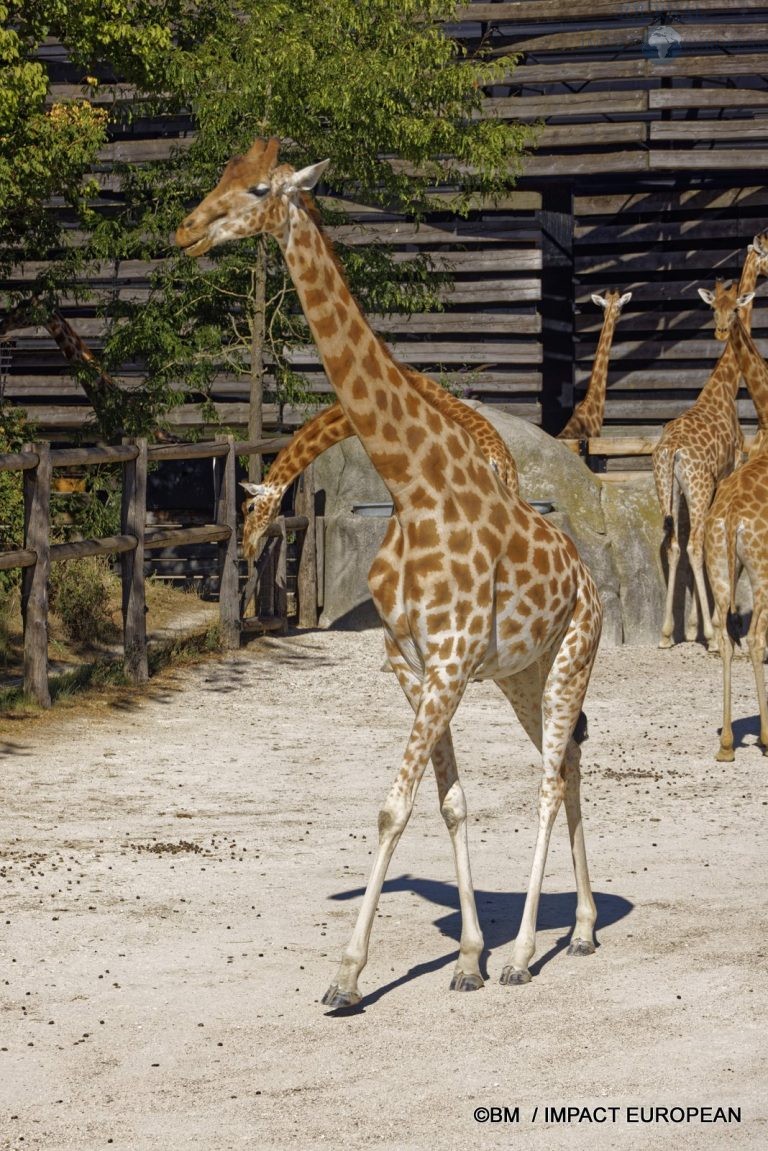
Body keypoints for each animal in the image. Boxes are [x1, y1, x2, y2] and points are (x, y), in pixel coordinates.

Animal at [649, 234, 768, 653]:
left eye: (731, 306)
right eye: (714, 307)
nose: (718, 329)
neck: (725, 386)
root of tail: (672, 451)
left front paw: (694, 628)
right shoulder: (727, 470)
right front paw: (716, 626)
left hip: (666, 487)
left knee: (672, 543)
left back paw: (667, 634)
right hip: (698, 487)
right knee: (696, 543)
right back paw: (715, 636)